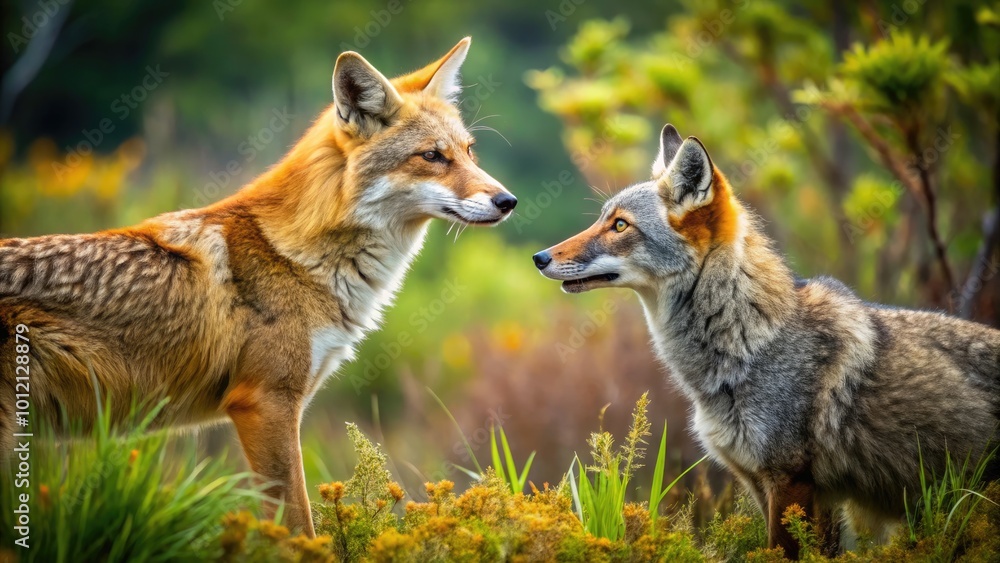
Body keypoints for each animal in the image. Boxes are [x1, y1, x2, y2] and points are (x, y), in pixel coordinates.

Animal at [0, 37, 517, 536]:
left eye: (469, 151)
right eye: (432, 156)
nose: (508, 200)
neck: (297, 255)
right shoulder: (266, 403)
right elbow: (300, 525)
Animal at [533, 124, 1000, 558]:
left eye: (620, 226)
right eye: (602, 219)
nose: (540, 257)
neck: (753, 341)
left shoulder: (788, 480)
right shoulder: (767, 484)